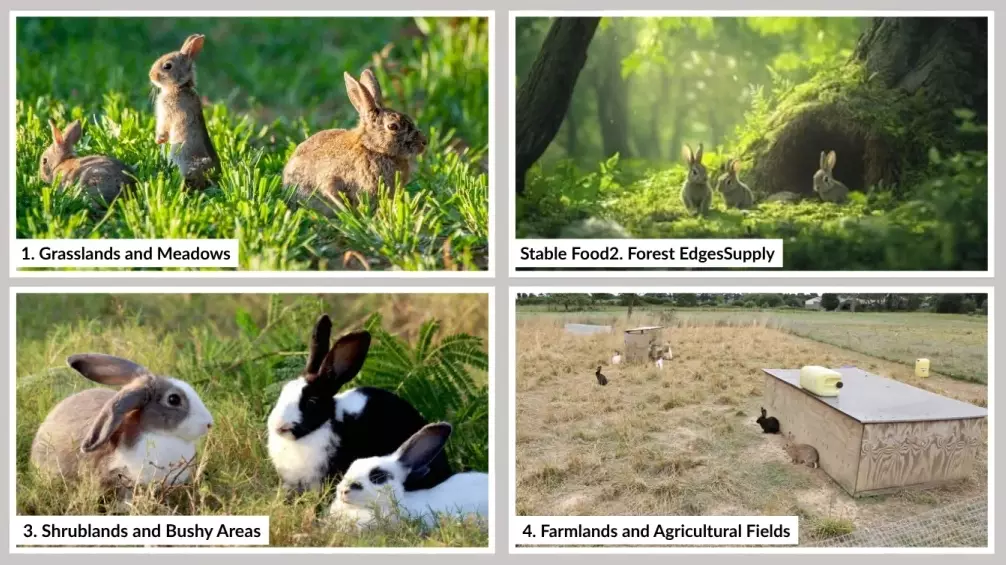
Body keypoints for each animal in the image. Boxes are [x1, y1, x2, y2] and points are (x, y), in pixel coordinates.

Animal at [149, 33, 221, 190]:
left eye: (167, 66)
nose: (151, 75)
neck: (179, 87)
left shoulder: (167, 115)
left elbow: (164, 128)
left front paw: (159, 140)